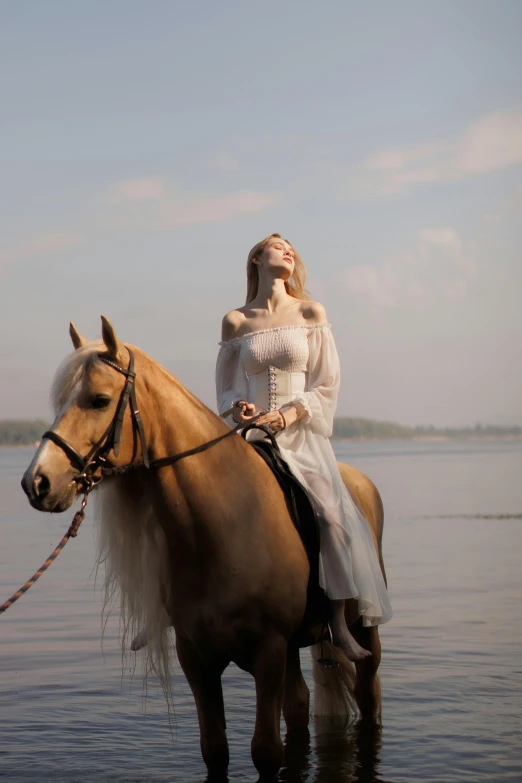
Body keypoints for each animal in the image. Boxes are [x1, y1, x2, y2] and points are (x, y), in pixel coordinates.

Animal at [21, 318, 386, 783]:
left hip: (363, 631)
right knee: (299, 703)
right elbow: (215, 749)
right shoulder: (197, 657)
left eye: (99, 400)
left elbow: (266, 751)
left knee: (368, 694)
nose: (37, 482)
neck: (224, 525)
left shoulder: (267, 651)